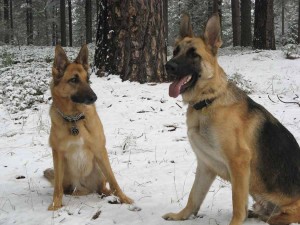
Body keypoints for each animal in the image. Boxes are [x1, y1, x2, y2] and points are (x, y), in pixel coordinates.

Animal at [44, 44, 133, 210]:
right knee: (63, 187)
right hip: (65, 173)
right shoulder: (58, 153)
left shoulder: (100, 150)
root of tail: (84, 188)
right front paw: (55, 205)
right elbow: (57, 188)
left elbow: (114, 182)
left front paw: (124, 199)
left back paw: (108, 195)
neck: (74, 119)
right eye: (74, 80)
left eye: (88, 79)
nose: (94, 97)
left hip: (99, 168)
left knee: (105, 186)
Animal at [163, 13, 300, 225]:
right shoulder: (205, 166)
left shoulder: (239, 162)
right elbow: (194, 197)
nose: (168, 66)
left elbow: (237, 202)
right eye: (176, 51)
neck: (208, 102)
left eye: (193, 54)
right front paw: (181, 216)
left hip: (283, 212)